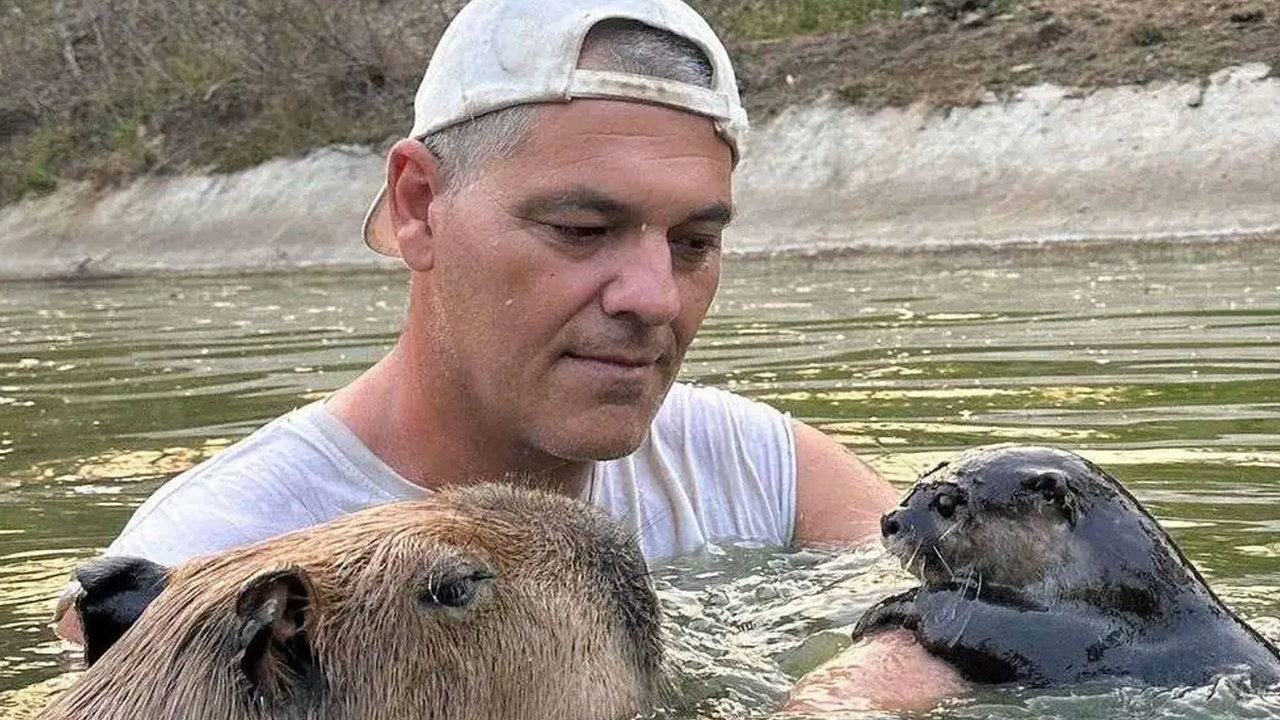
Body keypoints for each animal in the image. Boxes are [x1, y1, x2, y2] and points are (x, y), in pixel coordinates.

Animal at [849, 443, 1280, 681]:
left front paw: (889, 607)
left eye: (945, 502)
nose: (890, 519)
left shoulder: (1085, 639)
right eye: (916, 483)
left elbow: (972, 620)